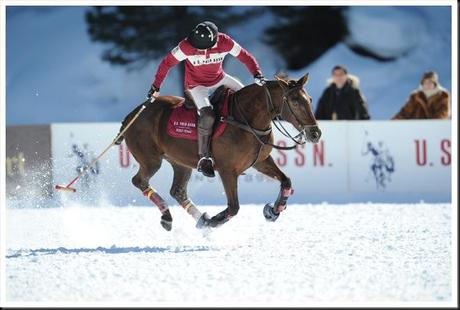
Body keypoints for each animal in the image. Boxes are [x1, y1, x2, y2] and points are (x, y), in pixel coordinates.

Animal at [120, 73, 322, 230]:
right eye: (294, 102)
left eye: (310, 99)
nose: (315, 134)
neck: (247, 120)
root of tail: (131, 115)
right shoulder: (228, 170)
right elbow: (234, 207)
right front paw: (212, 221)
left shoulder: (261, 161)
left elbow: (286, 180)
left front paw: (273, 211)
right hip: (150, 159)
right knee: (139, 181)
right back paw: (169, 217)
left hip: (179, 162)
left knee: (178, 191)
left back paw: (197, 219)